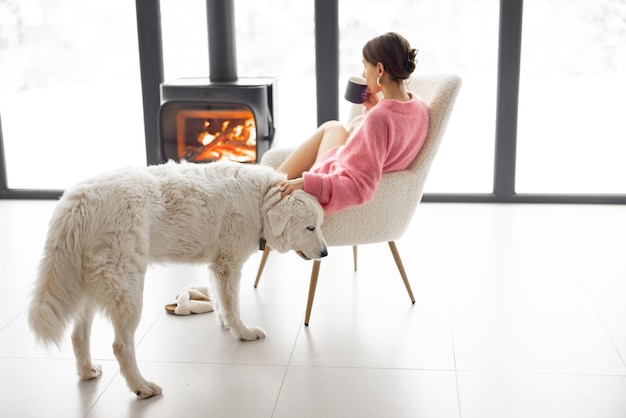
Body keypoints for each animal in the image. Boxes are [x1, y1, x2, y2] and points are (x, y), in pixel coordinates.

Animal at [26, 160, 330, 398]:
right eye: (310, 228)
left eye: (319, 226)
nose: (325, 254)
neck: (260, 202)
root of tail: (78, 200)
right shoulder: (228, 264)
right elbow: (233, 306)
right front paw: (243, 333)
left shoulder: (216, 265)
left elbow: (221, 300)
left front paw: (223, 322)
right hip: (127, 287)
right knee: (120, 345)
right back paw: (141, 386)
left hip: (89, 286)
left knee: (78, 336)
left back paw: (87, 371)